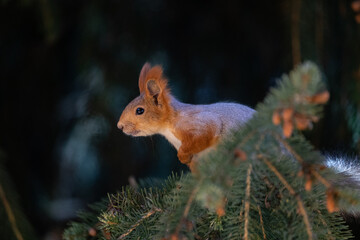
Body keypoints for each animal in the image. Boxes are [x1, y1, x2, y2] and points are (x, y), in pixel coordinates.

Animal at [116, 62, 255, 170]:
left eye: (139, 111)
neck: (168, 126)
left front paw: (182, 156)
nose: (119, 126)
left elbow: (205, 134)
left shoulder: (199, 122)